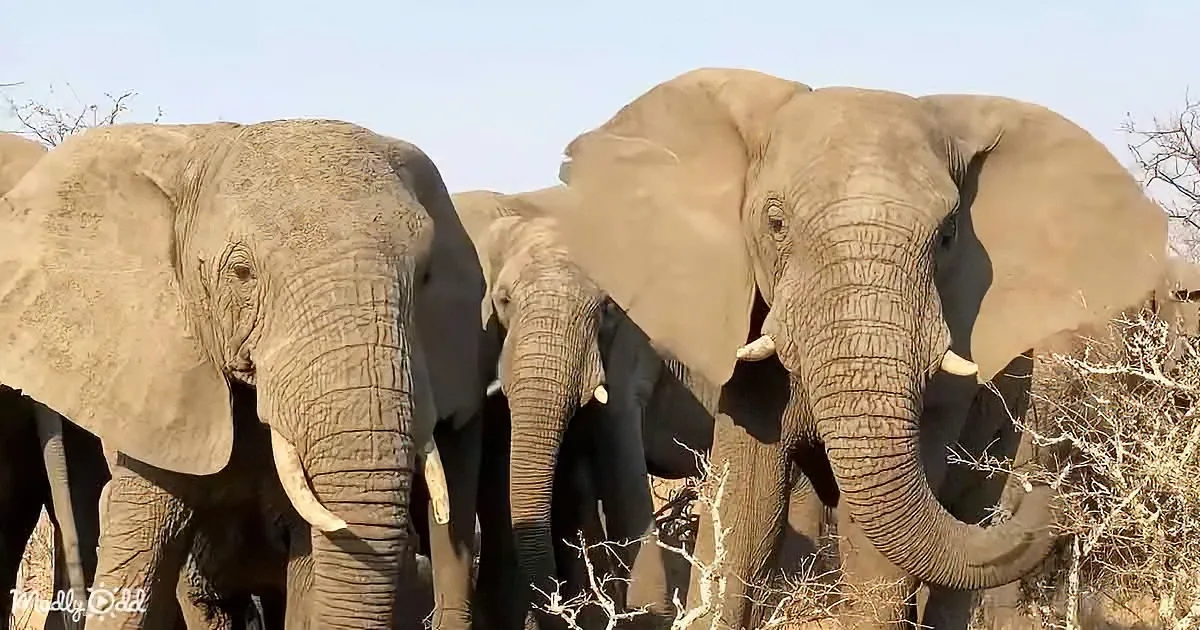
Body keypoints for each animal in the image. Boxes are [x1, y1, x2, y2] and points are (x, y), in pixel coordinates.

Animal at [549, 67, 1169, 629]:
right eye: (775, 222)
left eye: (948, 235)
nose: (1050, 495)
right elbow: (746, 508)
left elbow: (873, 543)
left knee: (966, 523)